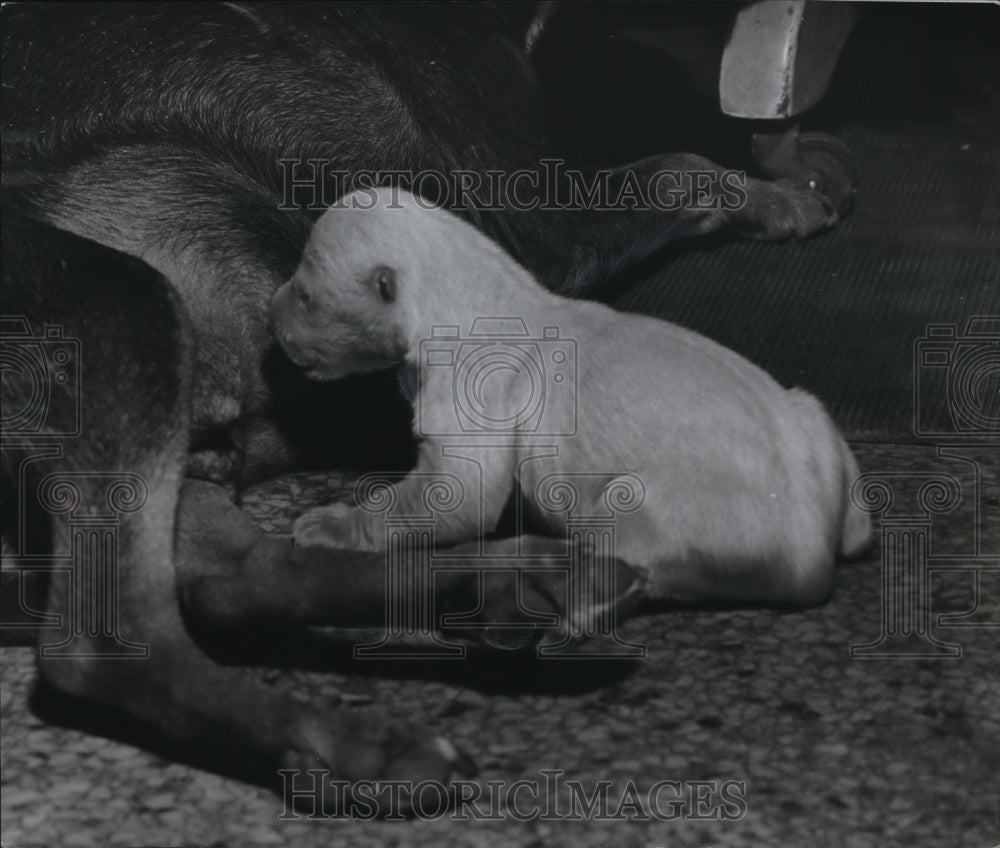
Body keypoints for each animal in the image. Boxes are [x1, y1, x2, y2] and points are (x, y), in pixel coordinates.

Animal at [0, 0, 848, 796]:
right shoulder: (538, 224)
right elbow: (681, 163)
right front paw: (780, 194)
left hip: (180, 432)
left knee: (237, 580)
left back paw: (509, 592)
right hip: (127, 301)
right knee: (102, 642)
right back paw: (343, 741)